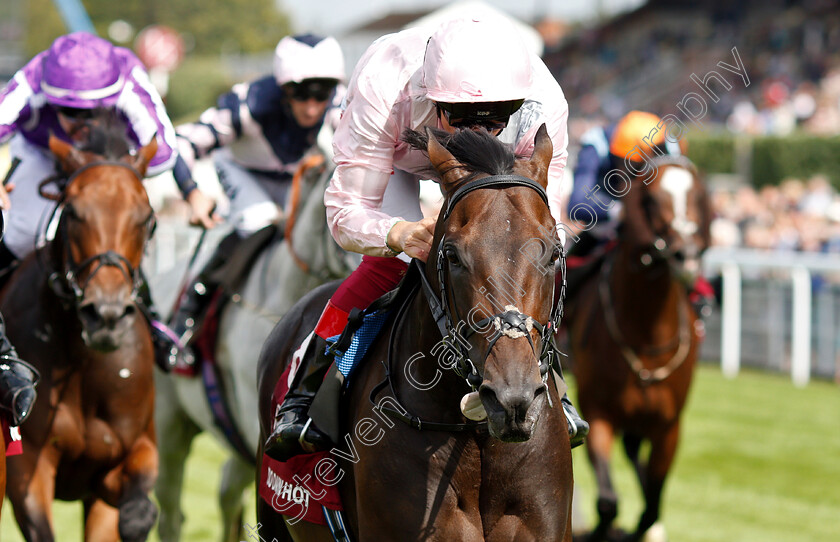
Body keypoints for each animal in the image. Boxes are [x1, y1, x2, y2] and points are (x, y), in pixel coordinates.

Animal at [1, 126, 161, 540]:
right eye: (72, 212)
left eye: (147, 218)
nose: (105, 315)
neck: (84, 365)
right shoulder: (29, 466)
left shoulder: (128, 455)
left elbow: (137, 514)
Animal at [568, 155, 712, 540]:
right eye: (650, 200)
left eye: (698, 195)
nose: (686, 255)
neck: (646, 337)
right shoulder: (598, 412)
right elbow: (607, 503)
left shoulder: (669, 427)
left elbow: (651, 507)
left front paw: (645, 526)